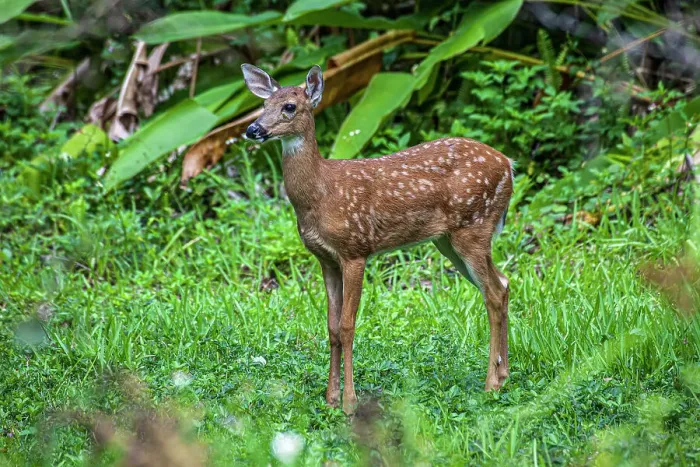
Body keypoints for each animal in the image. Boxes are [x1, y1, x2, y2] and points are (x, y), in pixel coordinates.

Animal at [241, 63, 514, 415]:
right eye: (263, 105)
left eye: (289, 106)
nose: (253, 129)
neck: (320, 195)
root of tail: (509, 165)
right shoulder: (325, 259)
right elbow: (331, 327)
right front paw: (330, 398)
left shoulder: (355, 249)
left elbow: (347, 326)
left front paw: (349, 403)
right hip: (448, 239)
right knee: (502, 283)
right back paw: (504, 375)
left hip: (474, 226)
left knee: (492, 292)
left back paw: (490, 384)